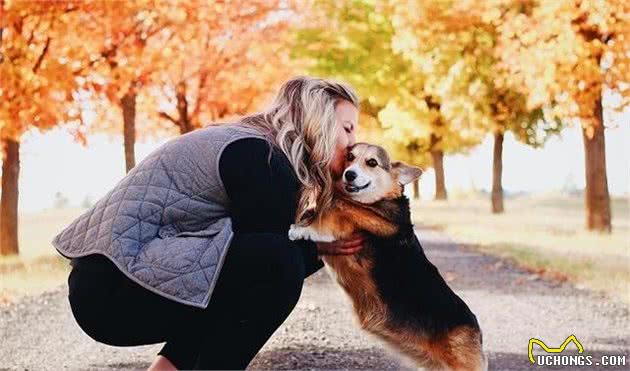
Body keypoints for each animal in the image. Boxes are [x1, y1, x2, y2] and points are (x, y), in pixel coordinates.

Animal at [288, 143, 486, 371]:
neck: (375, 201)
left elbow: (338, 212)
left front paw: (300, 229)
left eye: (372, 162)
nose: (349, 174)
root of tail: (477, 330)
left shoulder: (365, 220)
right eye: (350, 157)